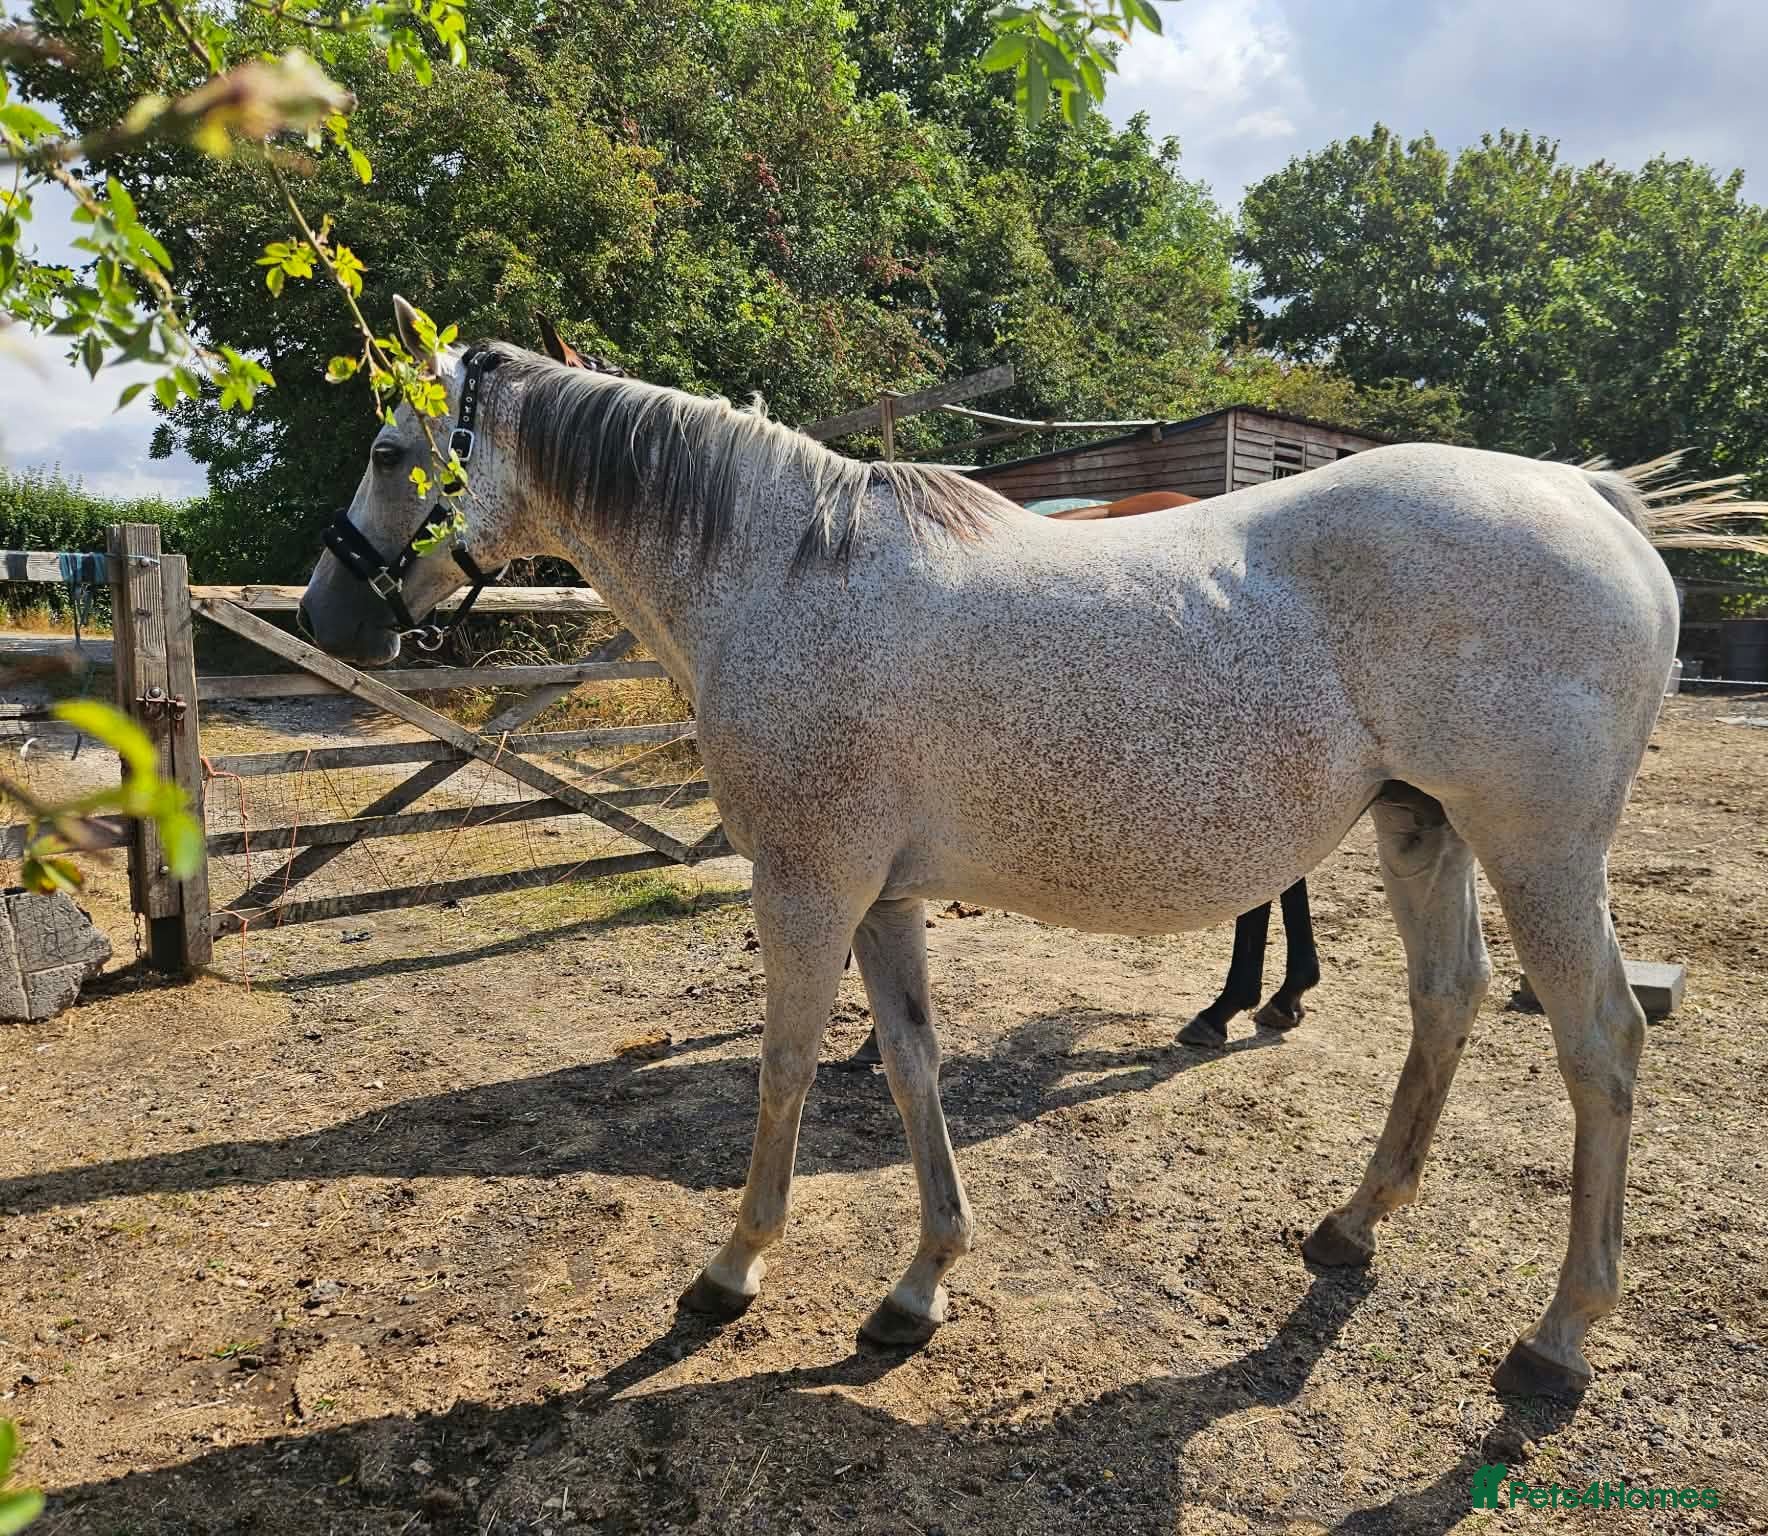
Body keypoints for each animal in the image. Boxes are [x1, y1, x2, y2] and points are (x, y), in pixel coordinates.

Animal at [300, 297, 1766, 1399]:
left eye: (384, 448)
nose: (327, 612)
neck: (781, 572)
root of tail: (1588, 496)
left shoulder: (805, 885)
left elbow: (783, 1070)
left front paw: (733, 1271)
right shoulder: (879, 897)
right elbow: (908, 1067)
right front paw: (918, 1286)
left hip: (1542, 850)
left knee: (1600, 1046)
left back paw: (1561, 1336)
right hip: (1422, 829)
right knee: (1447, 1000)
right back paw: (1353, 1227)